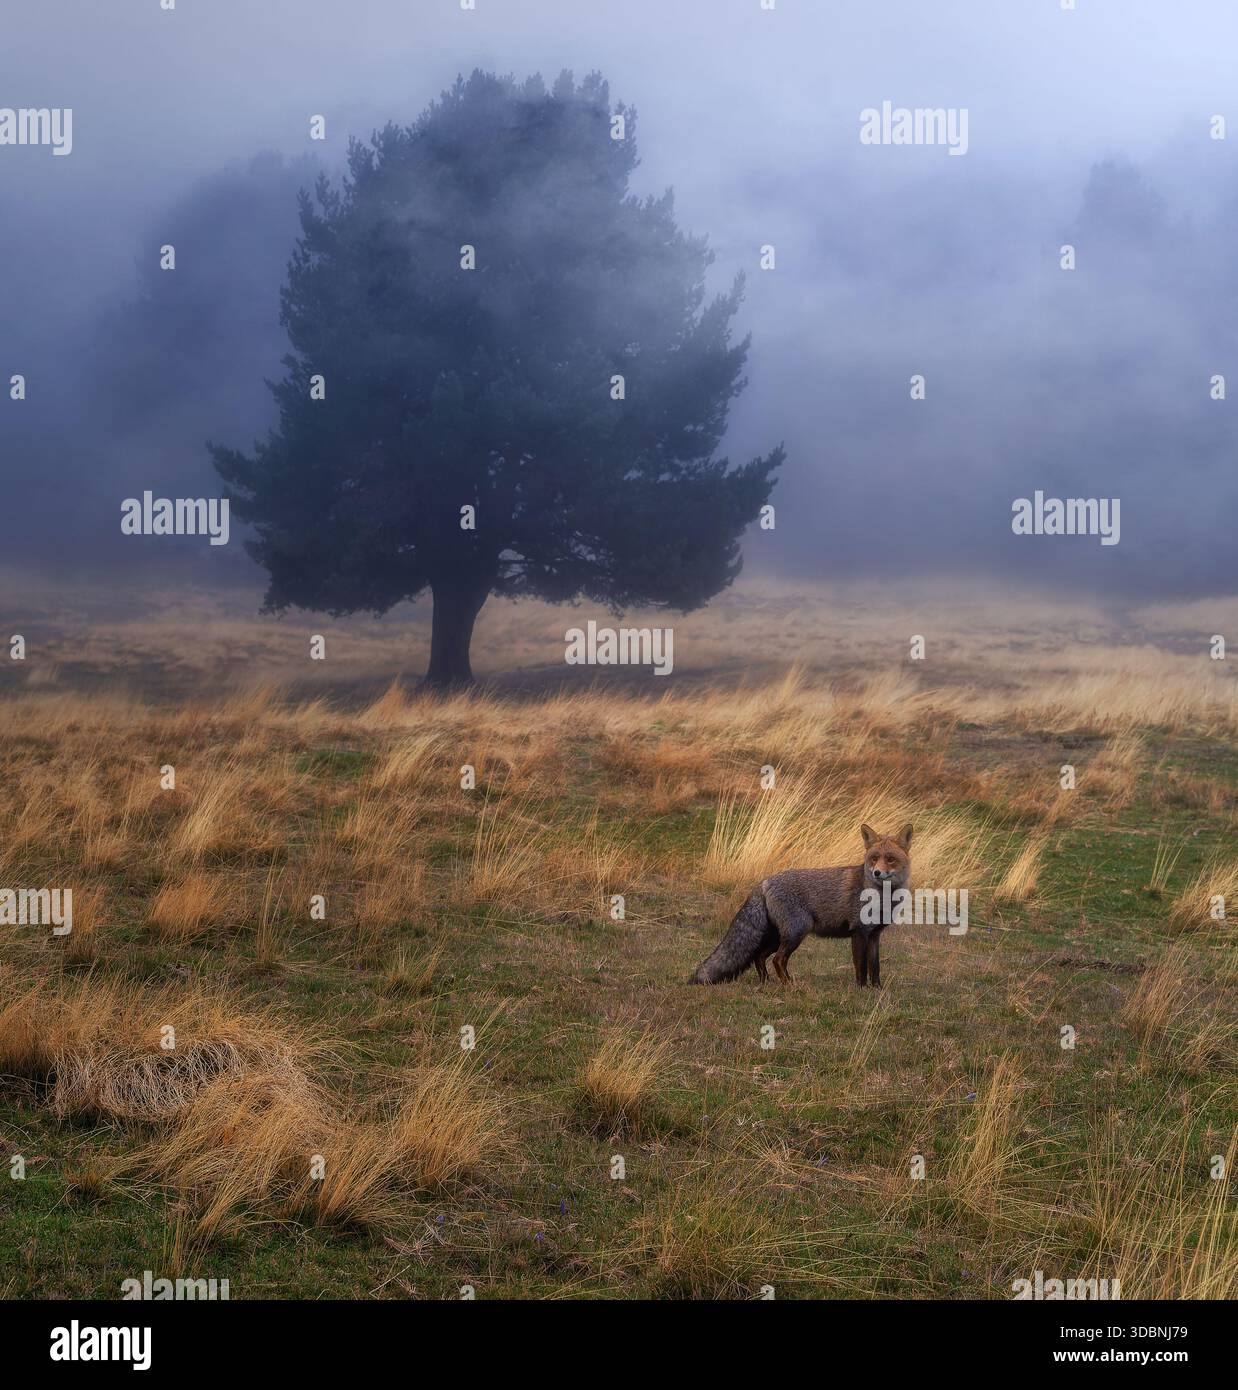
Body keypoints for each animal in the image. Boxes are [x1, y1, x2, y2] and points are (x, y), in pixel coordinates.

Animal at [690, 823, 913, 988]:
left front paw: (877, 989)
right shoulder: (858, 932)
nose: (877, 872)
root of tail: (764, 882)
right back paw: (789, 984)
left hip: (778, 935)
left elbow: (875, 967)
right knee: (777, 960)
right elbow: (861, 966)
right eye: (874, 858)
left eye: (890, 859)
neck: (882, 897)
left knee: (759, 957)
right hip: (797, 931)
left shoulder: (874, 935)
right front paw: (861, 989)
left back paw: (767, 983)